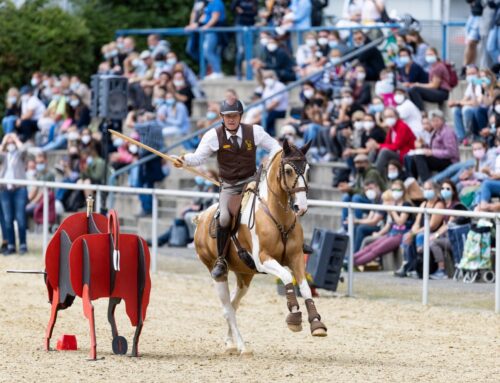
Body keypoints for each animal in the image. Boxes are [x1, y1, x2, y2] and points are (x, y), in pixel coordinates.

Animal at [193, 140, 326, 356]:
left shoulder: (296, 258)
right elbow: (287, 277)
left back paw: (230, 343)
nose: (301, 207)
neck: (277, 216)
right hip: (217, 272)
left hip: (245, 276)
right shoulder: (264, 260)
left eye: (307, 169)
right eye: (288, 170)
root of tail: (201, 217)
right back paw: (242, 346)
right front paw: (294, 318)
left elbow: (305, 287)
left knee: (233, 305)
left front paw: (317, 324)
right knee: (228, 308)